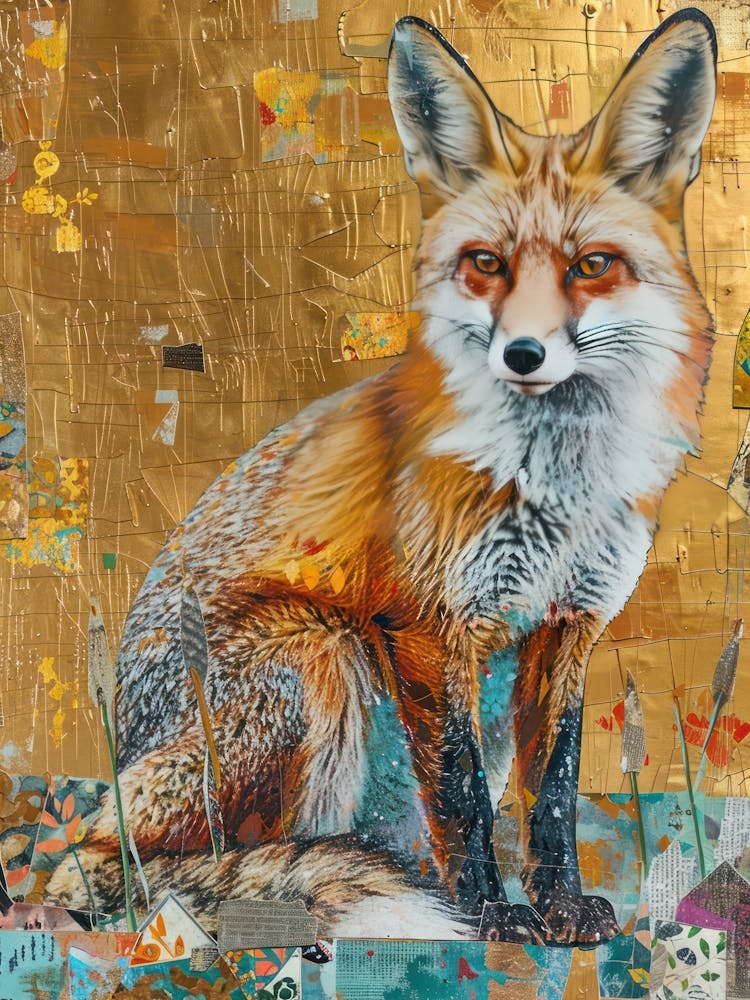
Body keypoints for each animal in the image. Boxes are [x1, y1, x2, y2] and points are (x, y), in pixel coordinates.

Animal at [52, 10, 717, 946]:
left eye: (590, 266)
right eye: (486, 263)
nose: (523, 353)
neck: (555, 484)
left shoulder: (565, 625)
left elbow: (550, 794)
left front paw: (556, 906)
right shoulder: (429, 624)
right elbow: (466, 798)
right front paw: (489, 913)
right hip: (316, 657)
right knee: (135, 861)